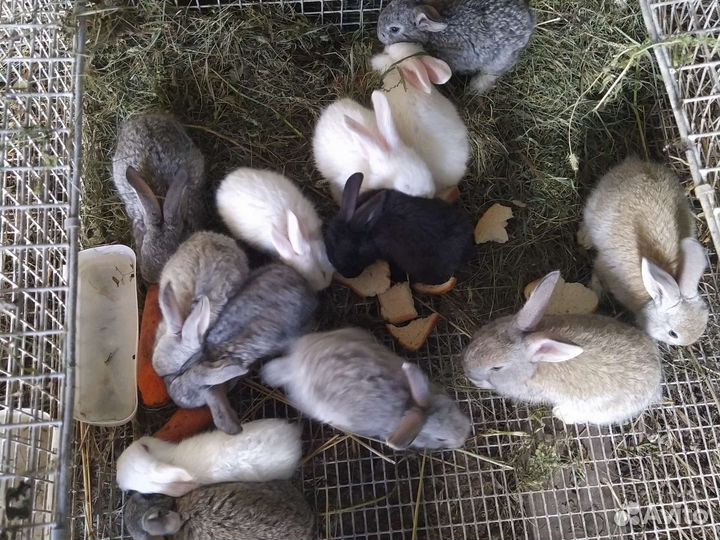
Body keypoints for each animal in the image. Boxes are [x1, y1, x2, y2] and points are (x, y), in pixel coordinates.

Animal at [376, 0, 535, 93]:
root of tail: (528, 24)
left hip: (500, 59)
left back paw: (474, 88)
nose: (379, 34)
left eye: (394, 29)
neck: (432, 34)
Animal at [462, 271, 663, 425]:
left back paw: (561, 413)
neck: (533, 367)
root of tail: (656, 378)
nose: (467, 371)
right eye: (484, 330)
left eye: (497, 367)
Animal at [578, 157, 709, 346]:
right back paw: (584, 238)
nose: (688, 343)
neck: (649, 297)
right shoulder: (604, 267)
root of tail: (636, 163)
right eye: (673, 333)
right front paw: (596, 291)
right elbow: (597, 272)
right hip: (594, 208)